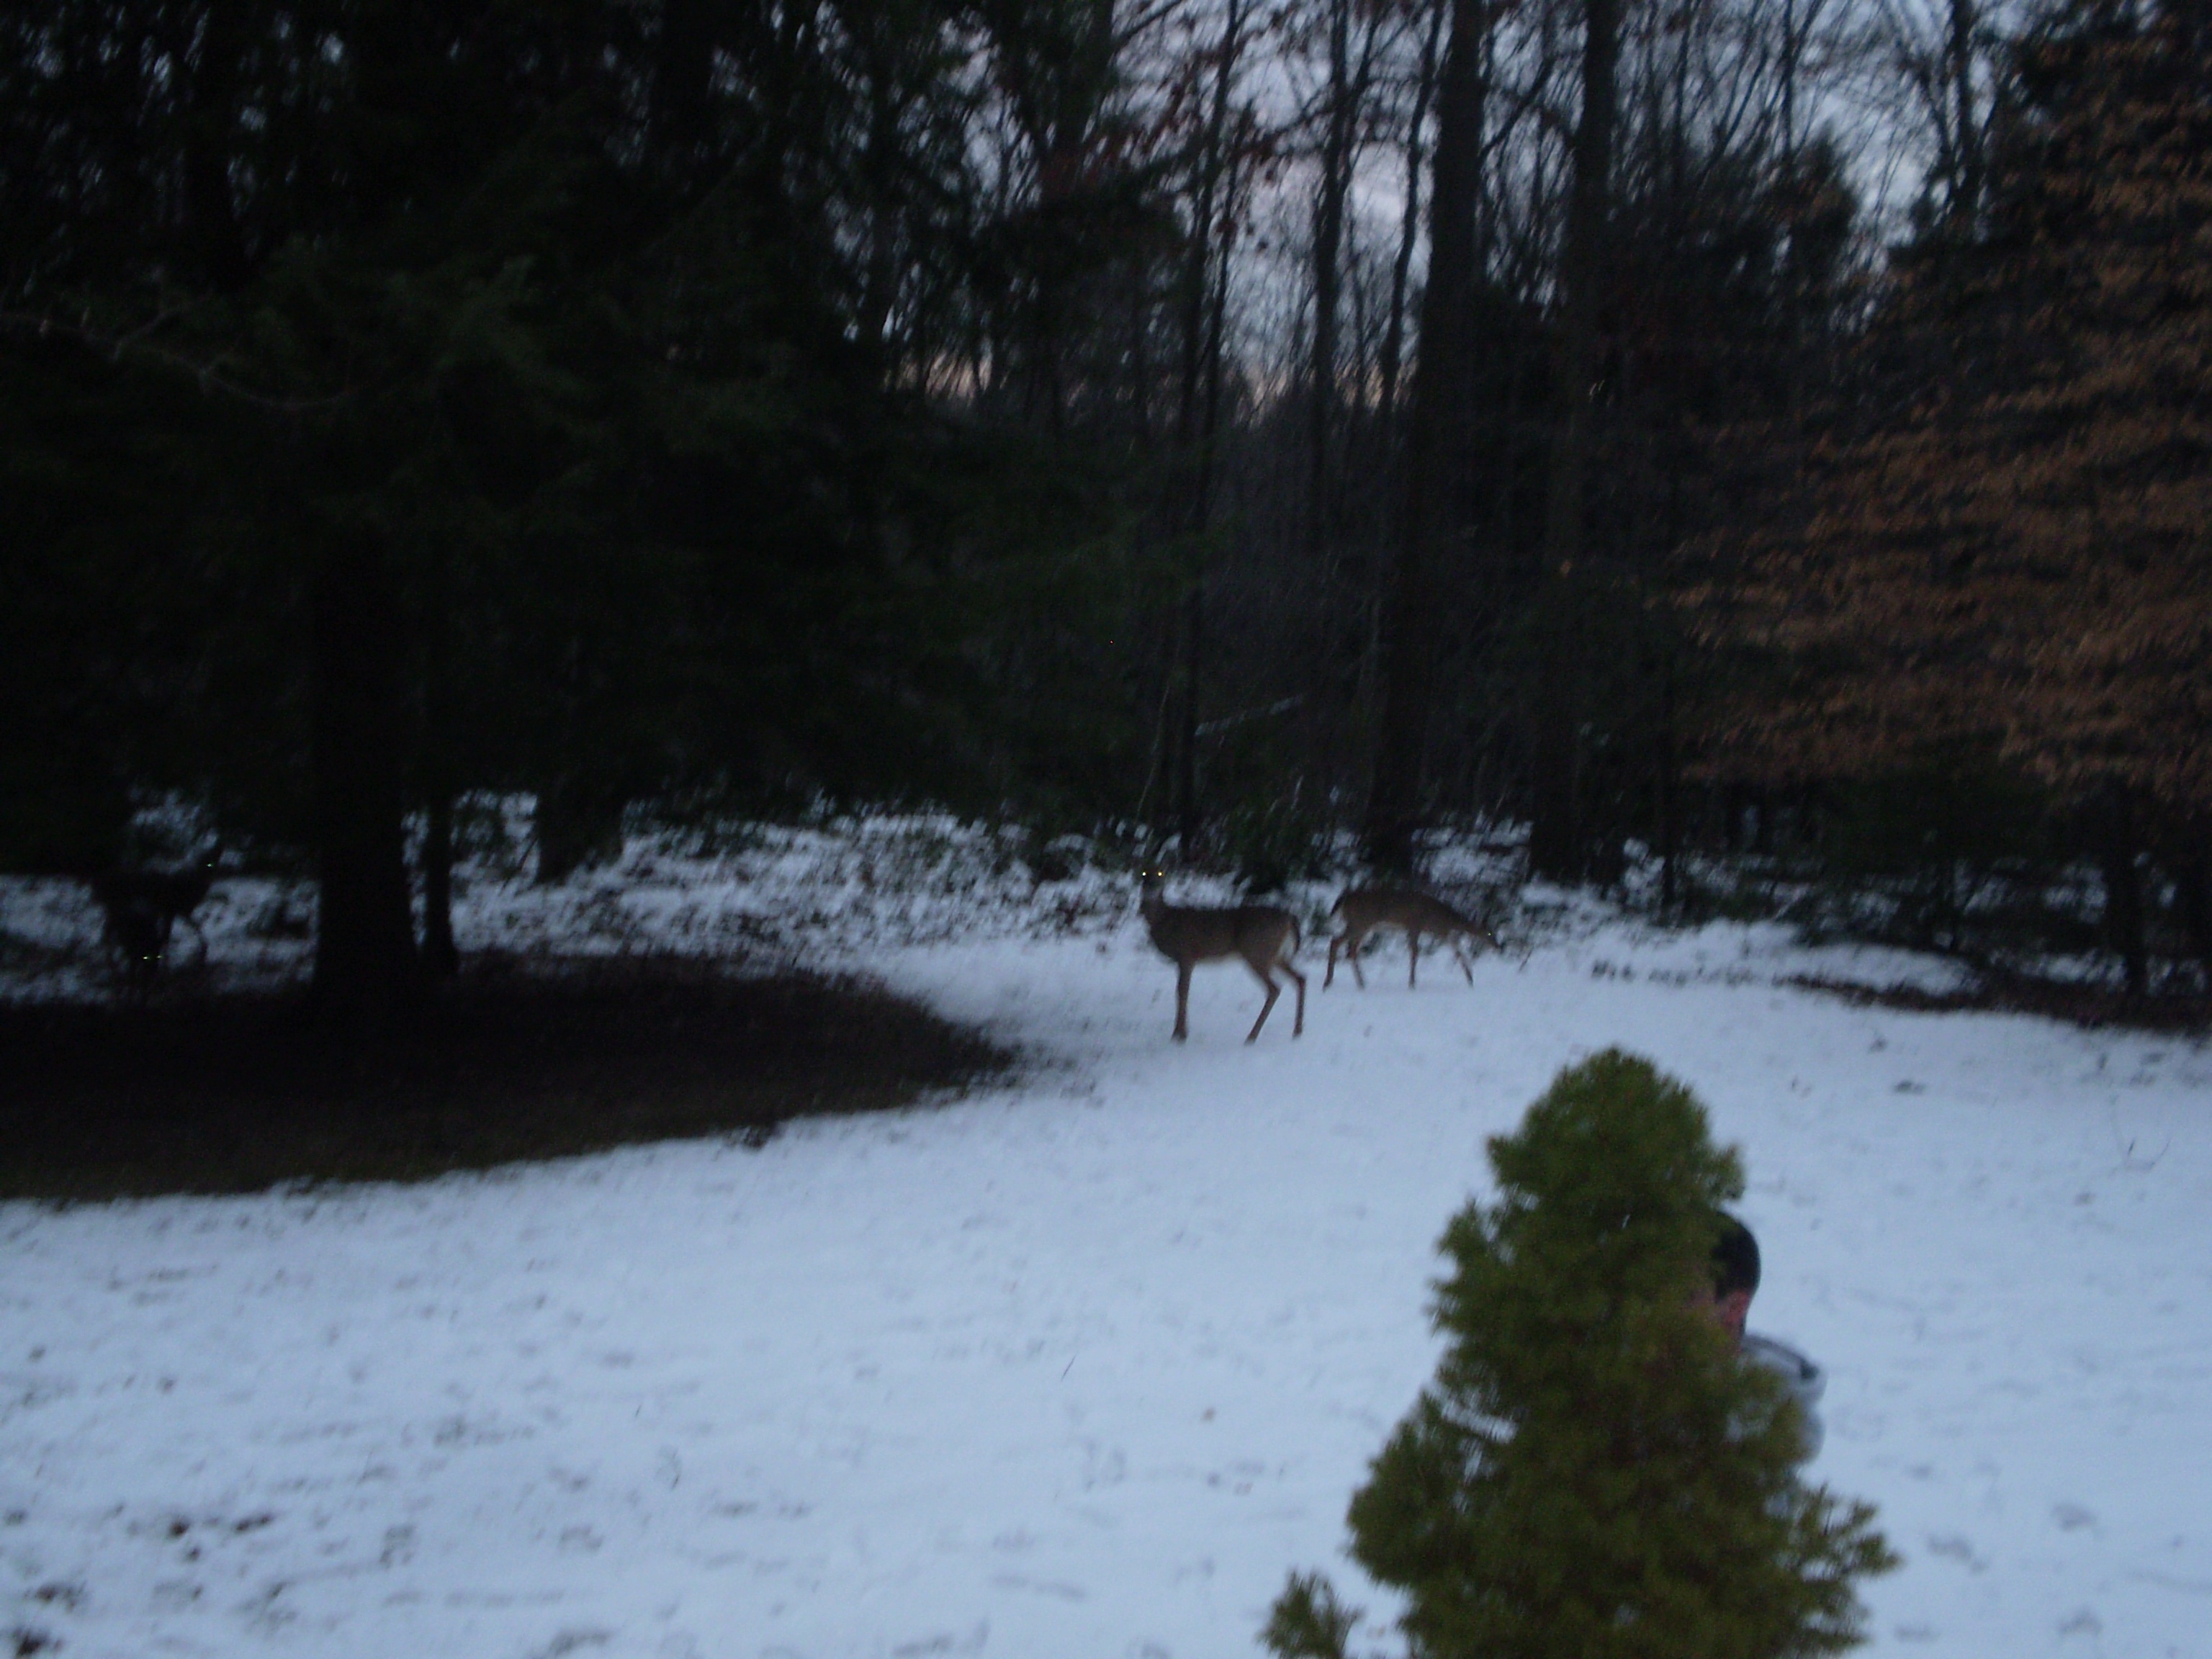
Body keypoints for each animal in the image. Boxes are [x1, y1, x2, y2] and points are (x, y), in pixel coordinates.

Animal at [1137, 868, 1306, 1043]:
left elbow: (1182, 991)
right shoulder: (1185, 959)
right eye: (1143, 873)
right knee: (1300, 978)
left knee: (1275, 988)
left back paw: (1251, 1036)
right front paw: (1181, 1032)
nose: (1151, 887)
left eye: (1161, 874)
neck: (1164, 919)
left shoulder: (1186, 954)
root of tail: (1290, 920)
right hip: (1278, 956)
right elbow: (1182, 991)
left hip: (1257, 952)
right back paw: (1297, 1031)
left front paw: (1180, 1034)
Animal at [1324, 885, 1498, 990]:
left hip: (1363, 926)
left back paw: (1361, 983)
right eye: (1490, 933)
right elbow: (1415, 953)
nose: (1498, 946)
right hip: (1360, 922)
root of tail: (1345, 899)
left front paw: (1470, 979)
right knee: (1336, 942)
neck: (1440, 917)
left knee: (1350, 950)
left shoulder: (1441, 931)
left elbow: (1457, 949)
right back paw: (1329, 982)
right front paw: (1412, 983)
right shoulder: (1414, 925)